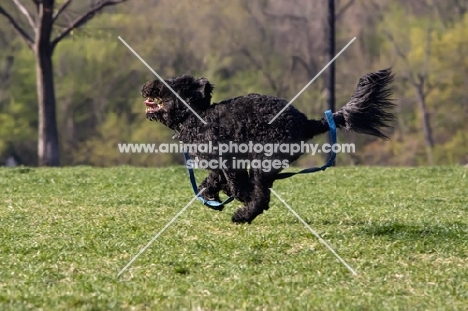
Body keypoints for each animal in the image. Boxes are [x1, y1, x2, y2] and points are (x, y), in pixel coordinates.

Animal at [142, 68, 394, 224]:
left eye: (166, 85)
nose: (145, 86)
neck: (196, 116)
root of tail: (306, 122)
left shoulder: (228, 159)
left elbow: (236, 185)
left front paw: (236, 196)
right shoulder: (218, 164)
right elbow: (212, 181)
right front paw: (214, 194)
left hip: (264, 159)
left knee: (262, 196)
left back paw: (244, 214)